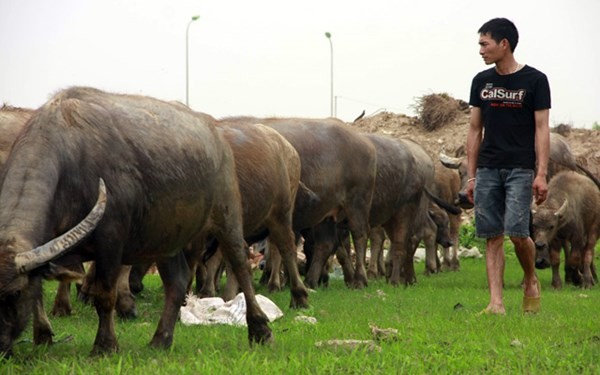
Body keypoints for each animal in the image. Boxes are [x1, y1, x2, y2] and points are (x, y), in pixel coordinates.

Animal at [0, 87, 270, 358]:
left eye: (15, 292)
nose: (3, 348)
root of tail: (216, 135)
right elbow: (39, 294)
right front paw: (43, 335)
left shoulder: (110, 243)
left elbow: (104, 295)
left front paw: (105, 345)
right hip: (166, 238)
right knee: (177, 281)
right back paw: (161, 339)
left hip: (227, 214)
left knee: (240, 264)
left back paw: (260, 330)